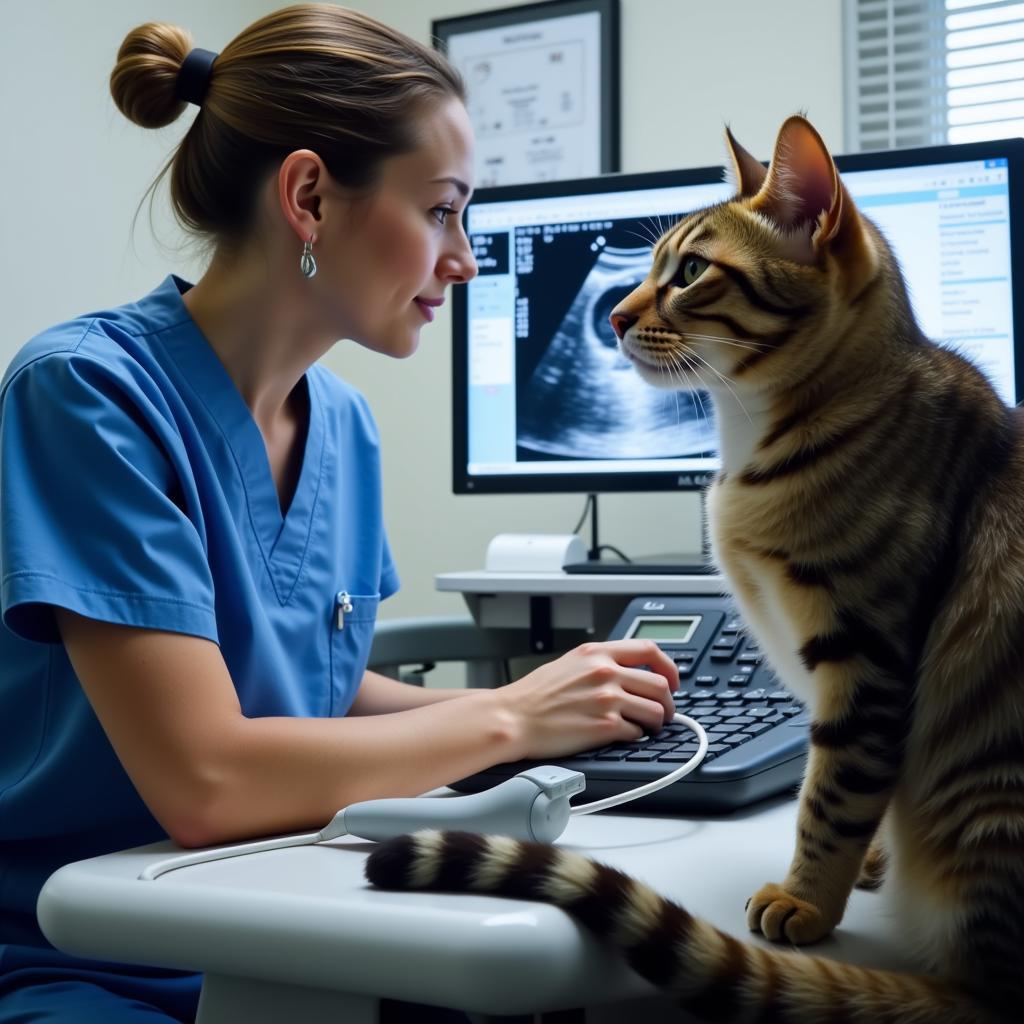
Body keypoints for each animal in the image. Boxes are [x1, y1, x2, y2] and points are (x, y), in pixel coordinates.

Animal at [368, 116, 1024, 1019]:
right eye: (645, 267)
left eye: (689, 272)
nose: (611, 314)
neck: (751, 447)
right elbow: (853, 797)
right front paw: (861, 867)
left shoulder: (866, 659)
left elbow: (831, 794)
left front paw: (807, 897)